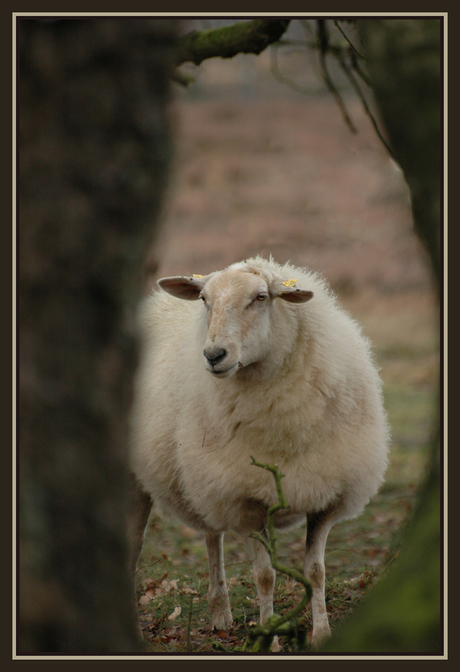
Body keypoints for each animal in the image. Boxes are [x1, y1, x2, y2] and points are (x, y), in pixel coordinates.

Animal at [127, 255, 390, 648]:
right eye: (204, 299)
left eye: (261, 297)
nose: (214, 355)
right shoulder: (246, 501)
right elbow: (265, 576)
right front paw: (270, 638)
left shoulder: (326, 494)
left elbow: (316, 571)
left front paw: (321, 634)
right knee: (133, 546)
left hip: (207, 473)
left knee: (212, 535)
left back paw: (220, 612)